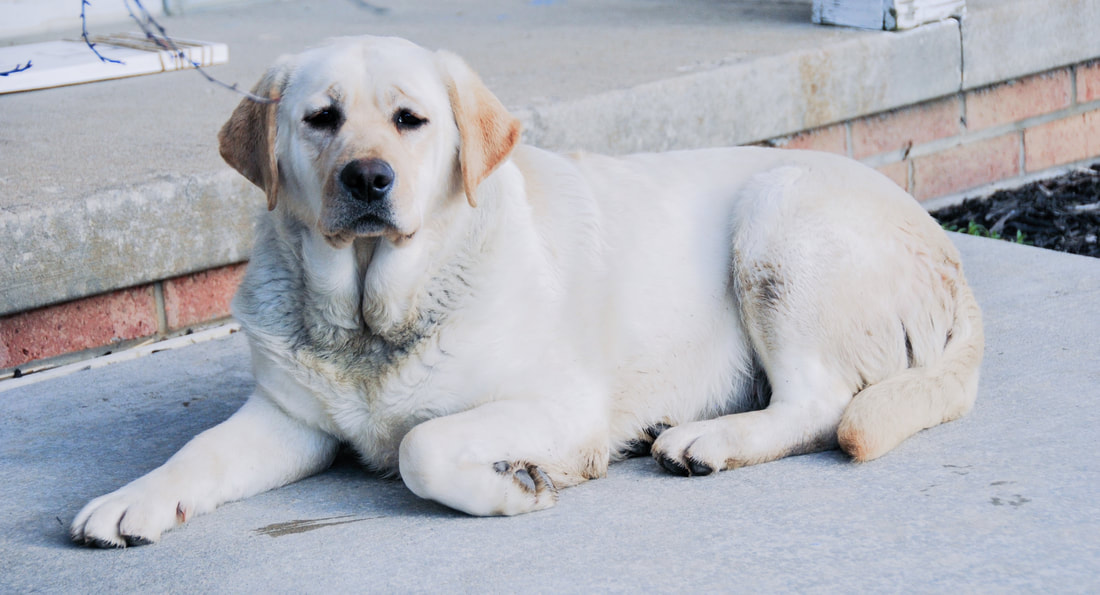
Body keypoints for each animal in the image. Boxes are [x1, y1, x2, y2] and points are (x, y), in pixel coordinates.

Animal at [70, 34, 981, 547]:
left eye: (410, 120)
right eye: (320, 118)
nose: (368, 179)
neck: (375, 315)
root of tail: (949, 252)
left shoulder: (560, 403)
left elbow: (420, 443)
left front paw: (516, 483)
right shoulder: (287, 418)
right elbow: (198, 452)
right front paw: (128, 500)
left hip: (774, 219)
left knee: (820, 403)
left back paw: (706, 438)